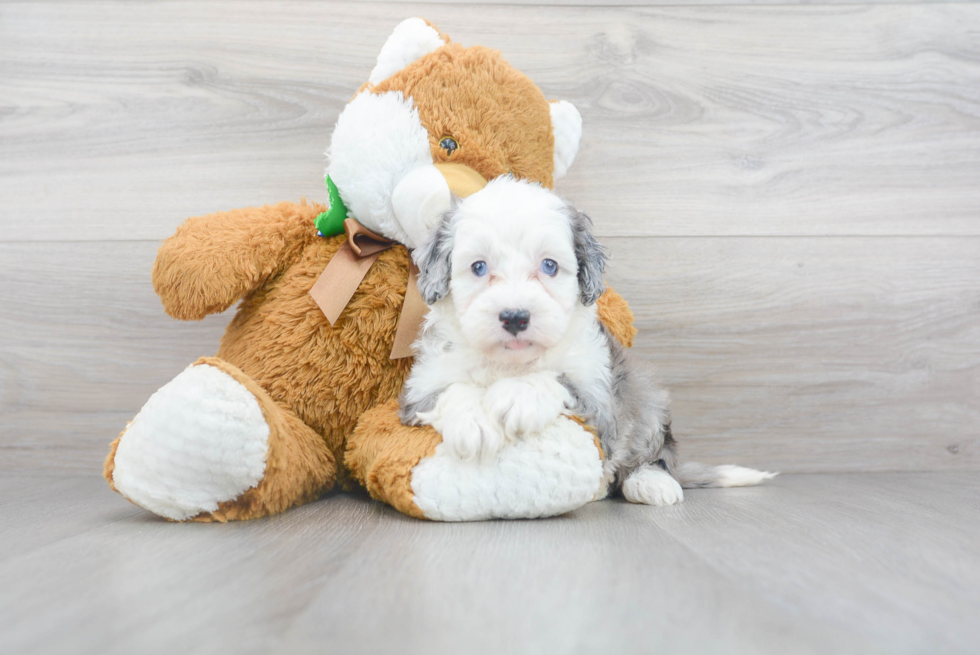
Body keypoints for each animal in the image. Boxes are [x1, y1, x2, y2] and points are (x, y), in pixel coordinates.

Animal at [398, 178, 772, 508]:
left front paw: (517, 396)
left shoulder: (600, 400)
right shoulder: (418, 391)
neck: (511, 363)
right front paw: (473, 421)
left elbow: (556, 378)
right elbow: (452, 390)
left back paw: (652, 482)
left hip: (646, 396)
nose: (515, 317)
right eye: (478, 267)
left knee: (656, 454)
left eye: (549, 265)